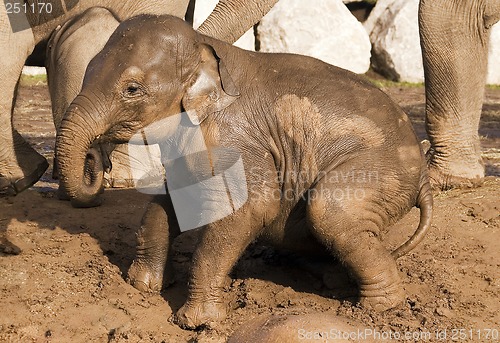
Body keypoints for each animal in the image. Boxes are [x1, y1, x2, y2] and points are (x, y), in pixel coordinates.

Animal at [53, 14, 430, 330]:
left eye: (132, 89)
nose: (96, 160)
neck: (204, 44)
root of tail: (423, 177)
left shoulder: (238, 140)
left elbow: (252, 207)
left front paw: (197, 322)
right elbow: (167, 201)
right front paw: (142, 286)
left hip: (379, 173)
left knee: (331, 212)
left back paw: (375, 309)